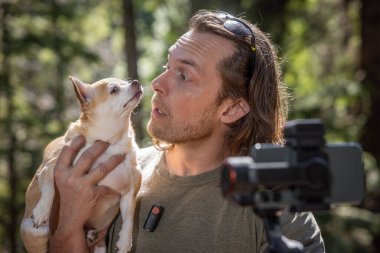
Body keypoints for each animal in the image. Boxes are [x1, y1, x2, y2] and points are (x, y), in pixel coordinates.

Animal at [19, 77, 142, 253]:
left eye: (127, 81)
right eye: (114, 90)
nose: (136, 82)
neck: (110, 144)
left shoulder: (130, 191)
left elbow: (129, 218)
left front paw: (125, 242)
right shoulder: (50, 168)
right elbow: (49, 188)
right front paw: (42, 211)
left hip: (100, 245)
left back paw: (90, 234)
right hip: (34, 233)